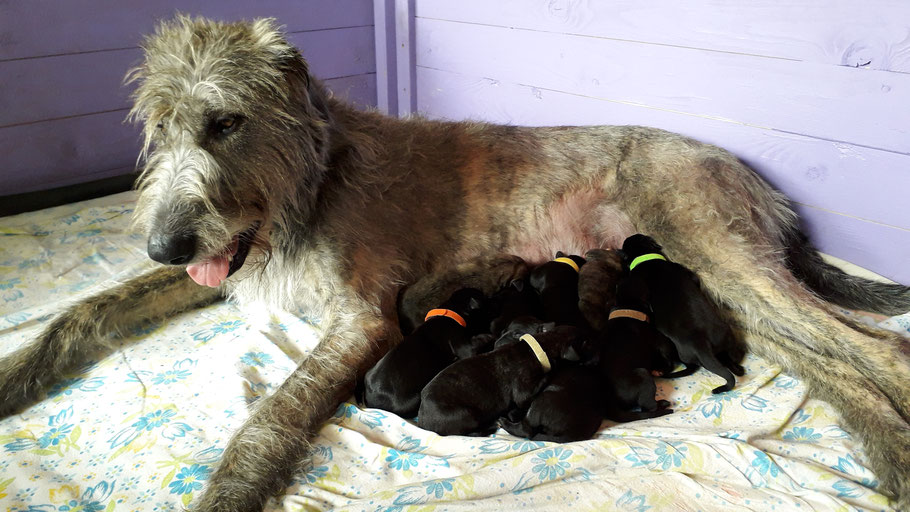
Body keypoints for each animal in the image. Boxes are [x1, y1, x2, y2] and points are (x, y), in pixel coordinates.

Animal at [364, 288, 492, 416]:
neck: (452, 310)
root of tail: (370, 401)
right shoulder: (463, 345)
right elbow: (476, 343)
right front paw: (487, 337)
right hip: (412, 401)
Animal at [418, 326, 596, 438]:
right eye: (587, 342)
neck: (540, 345)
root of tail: (422, 421)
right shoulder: (523, 392)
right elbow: (542, 379)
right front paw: (554, 367)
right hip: (465, 415)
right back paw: (491, 426)